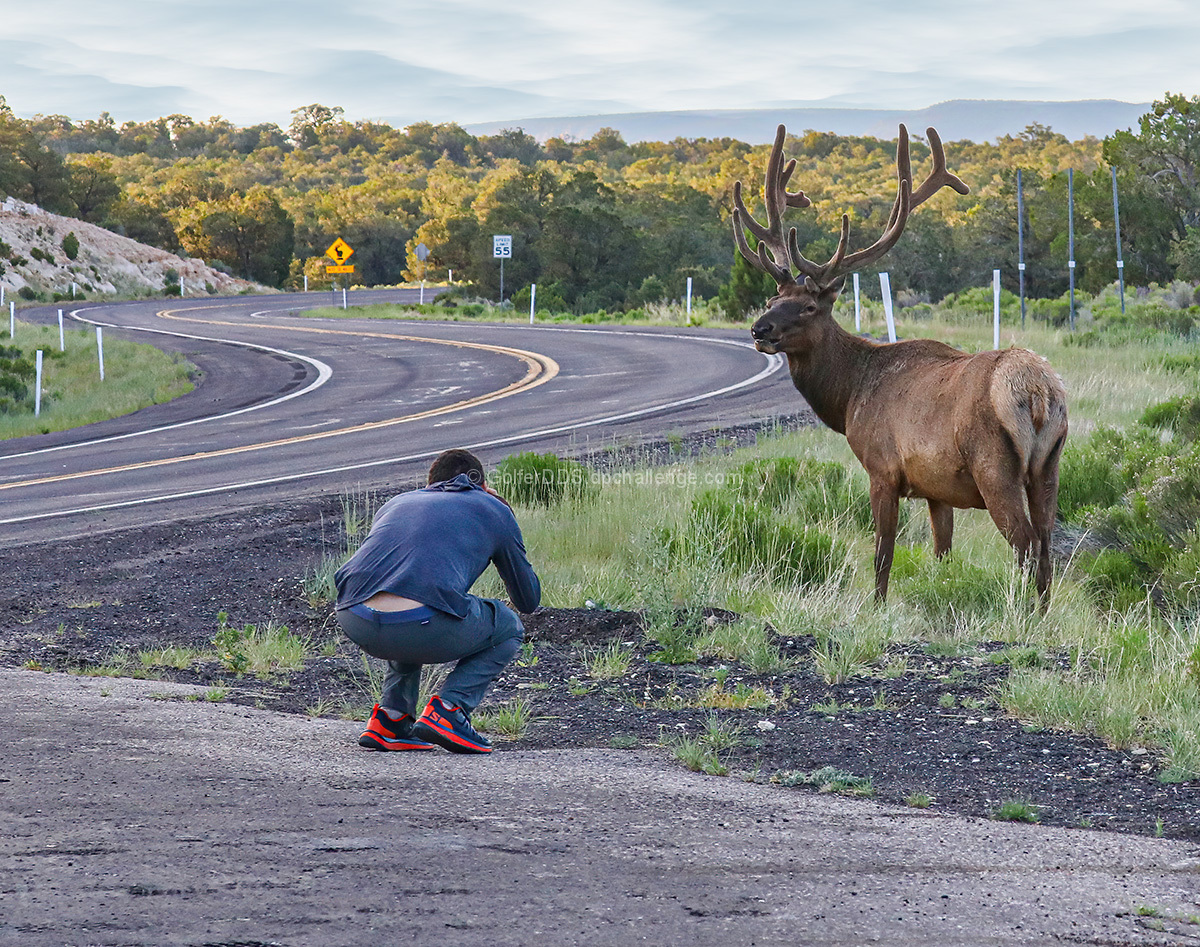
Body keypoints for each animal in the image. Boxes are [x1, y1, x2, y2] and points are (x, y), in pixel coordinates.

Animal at [729, 123, 1070, 597]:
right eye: (771, 299)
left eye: (810, 307)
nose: (760, 330)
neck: (848, 397)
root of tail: (1038, 392)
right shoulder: (937, 490)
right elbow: (942, 552)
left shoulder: (882, 468)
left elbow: (882, 556)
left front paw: (876, 604)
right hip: (1050, 464)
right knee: (1047, 547)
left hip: (994, 466)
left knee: (1025, 545)